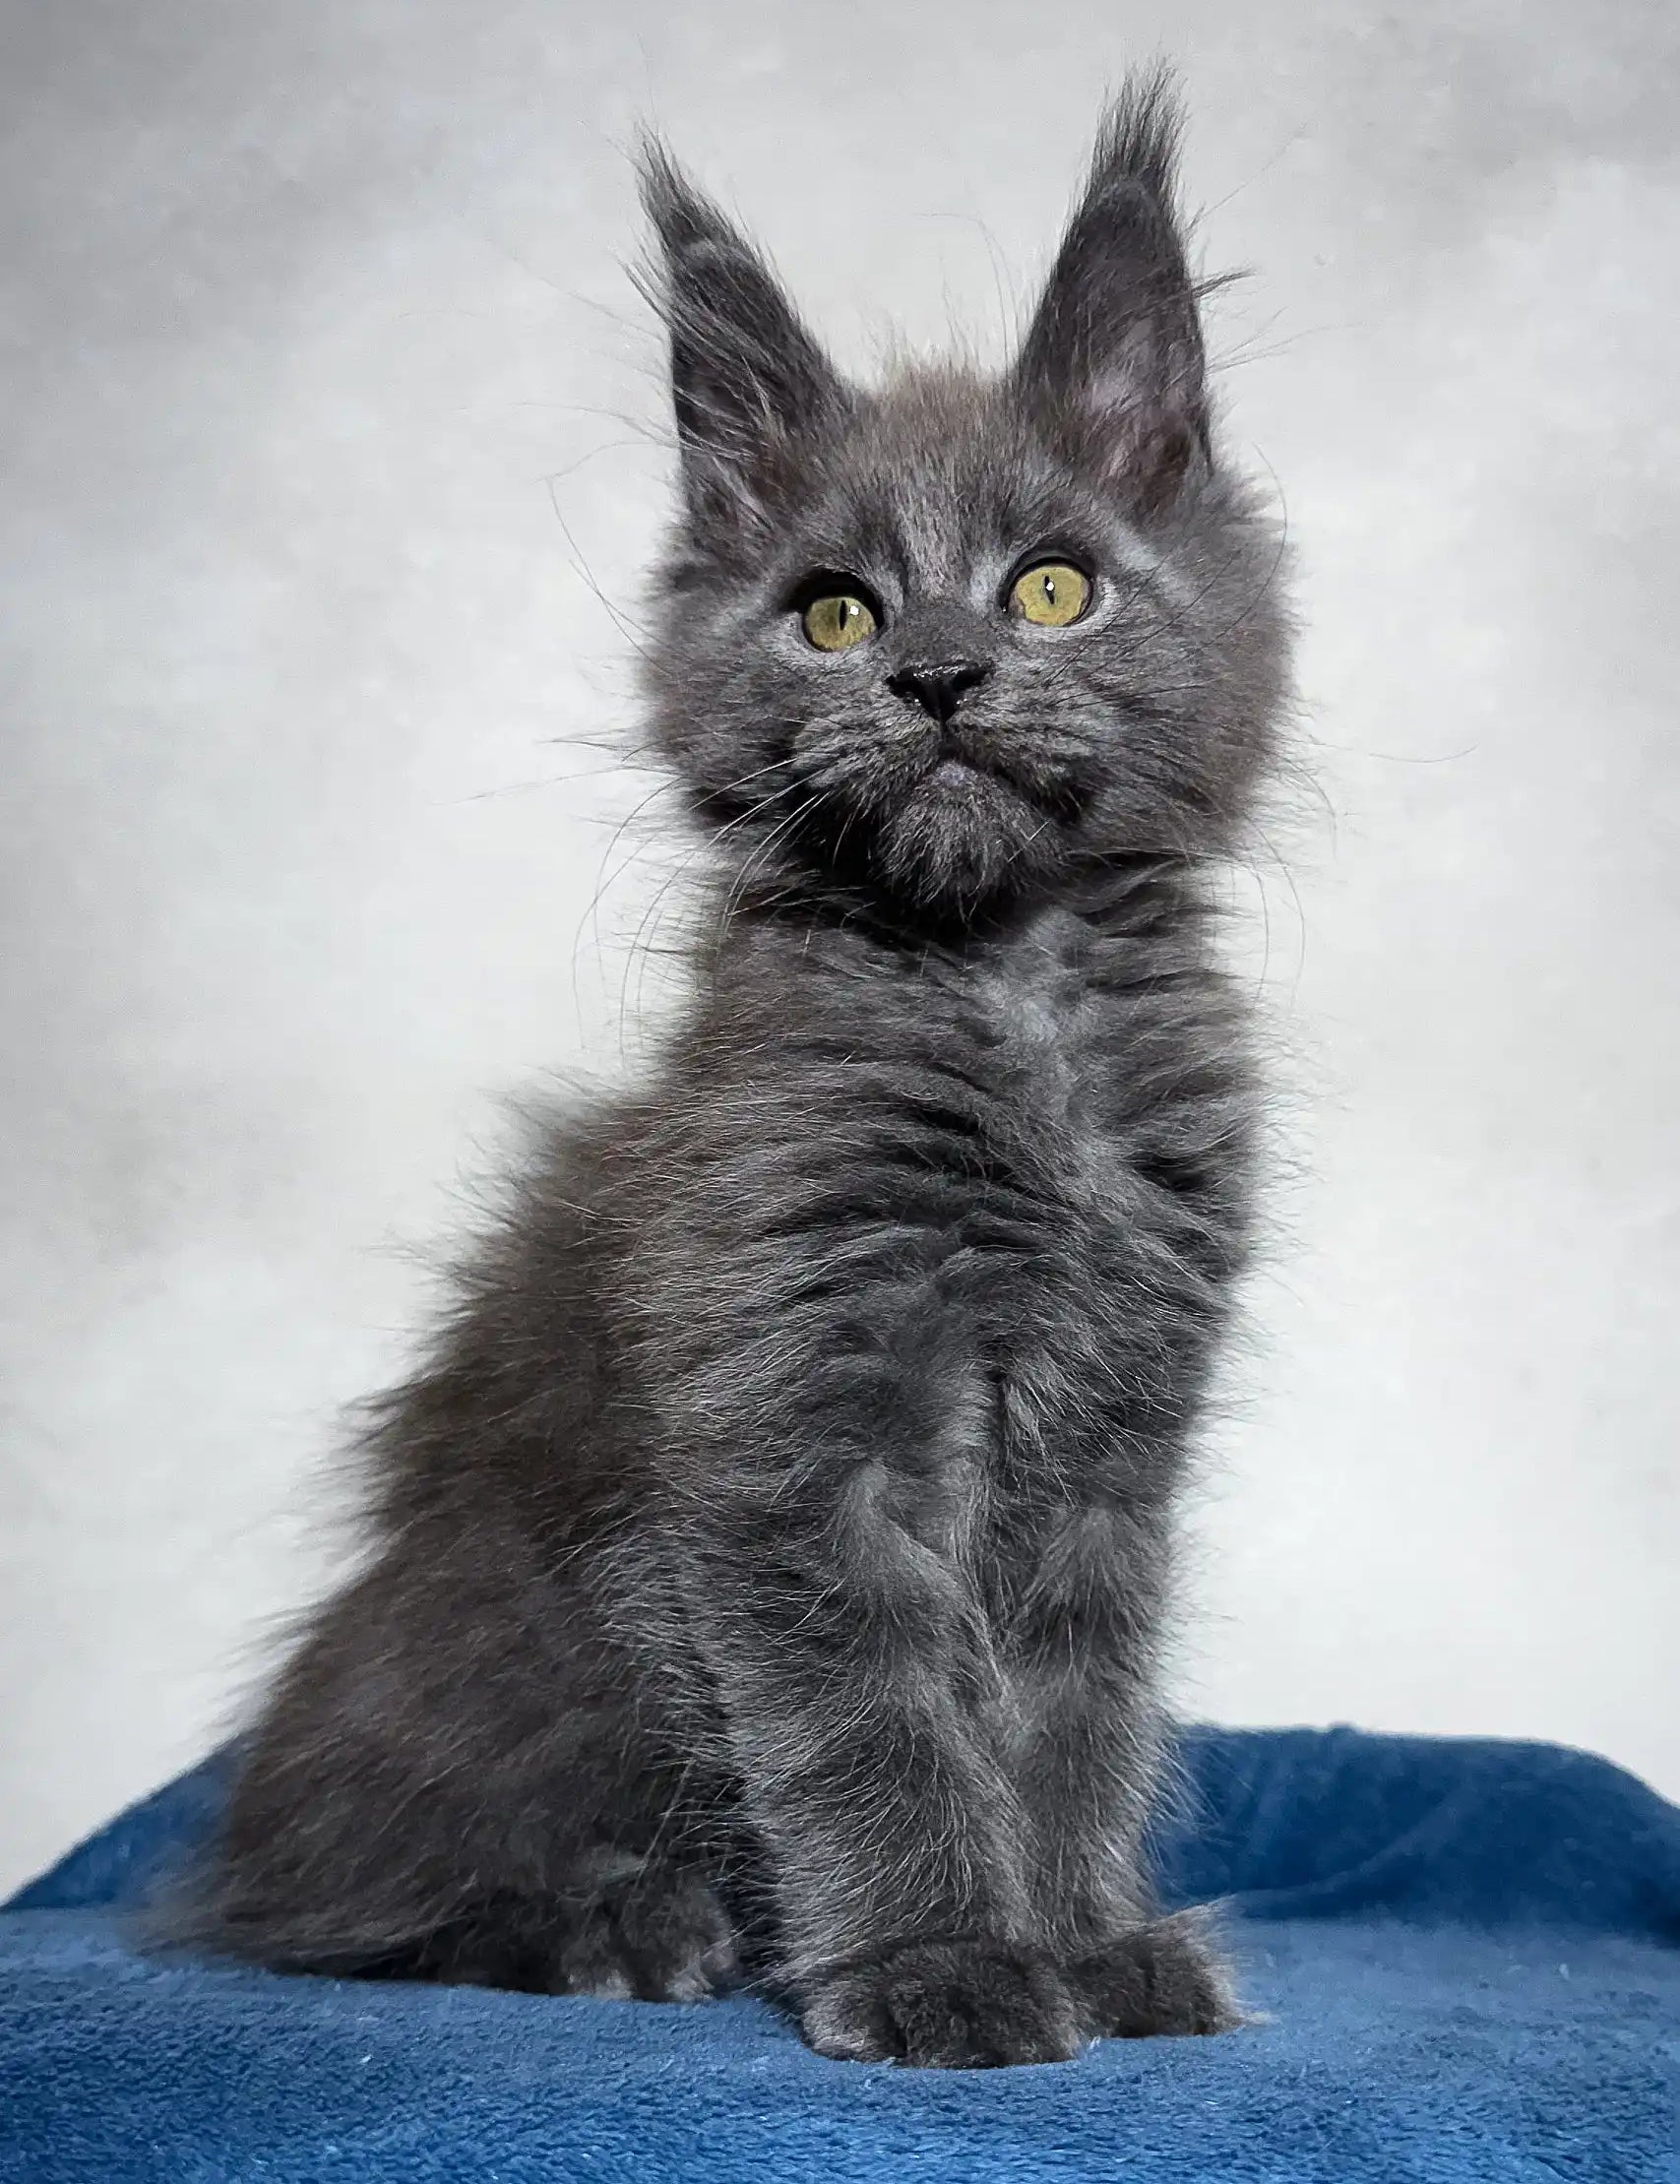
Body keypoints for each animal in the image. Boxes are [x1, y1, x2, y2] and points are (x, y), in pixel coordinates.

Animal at [203, 77, 1293, 2070]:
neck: (1002, 987)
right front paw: (943, 1962)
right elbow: (874, 1716)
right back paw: (624, 1920)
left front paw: (1087, 1940)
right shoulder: (786, 1421)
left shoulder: (1109, 1446)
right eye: (836, 614)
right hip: (488, 1653)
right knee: (331, 1901)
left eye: (1051, 585)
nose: (936, 671)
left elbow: (1066, 1711)